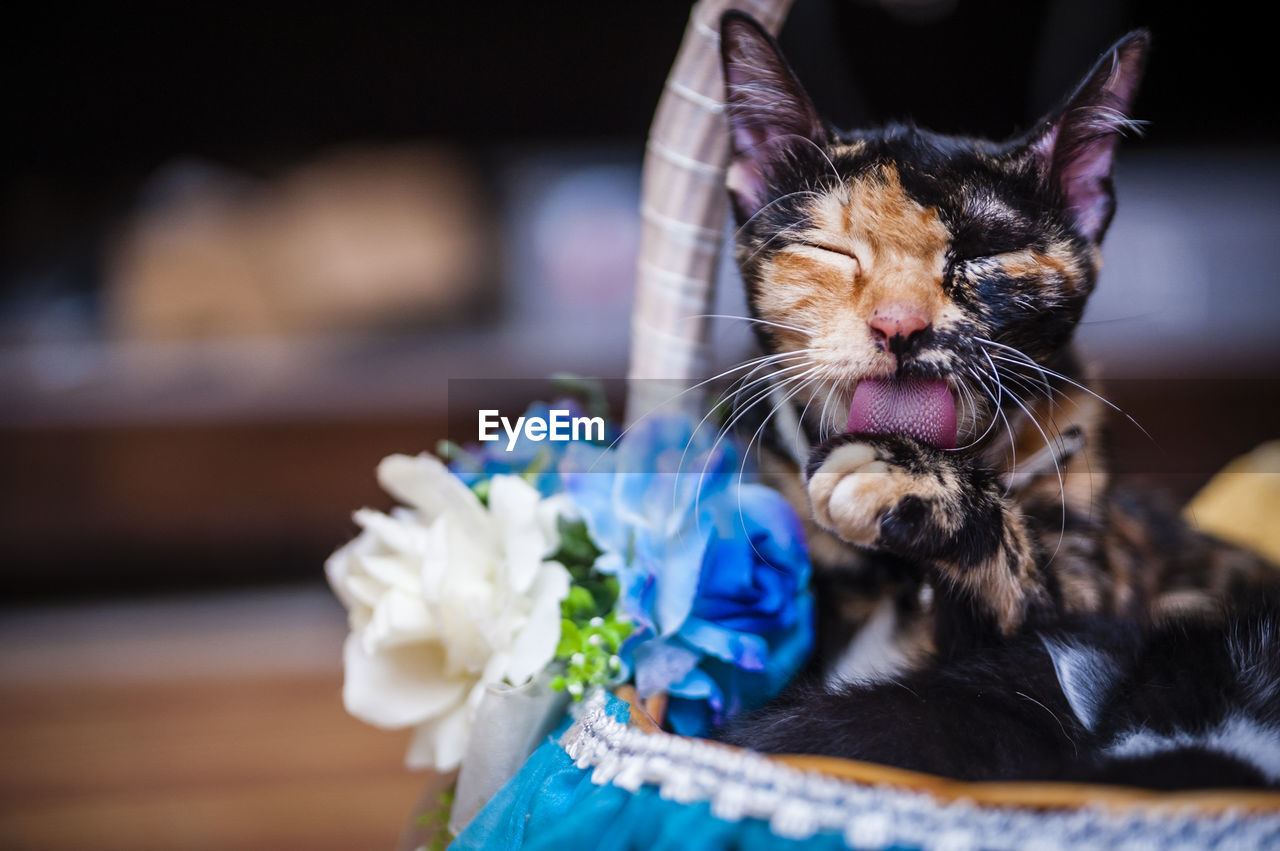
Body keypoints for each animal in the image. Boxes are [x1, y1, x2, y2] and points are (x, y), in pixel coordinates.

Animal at [711, 13, 1280, 783]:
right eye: (834, 252)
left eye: (982, 255)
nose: (899, 325)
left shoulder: (1102, 595)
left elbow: (1034, 606)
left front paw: (906, 477)